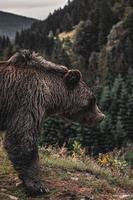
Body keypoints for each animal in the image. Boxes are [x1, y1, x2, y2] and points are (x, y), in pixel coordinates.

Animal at [0, 49, 104, 195]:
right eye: (92, 100)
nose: (102, 116)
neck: (50, 96)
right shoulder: (28, 102)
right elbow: (23, 138)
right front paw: (38, 186)